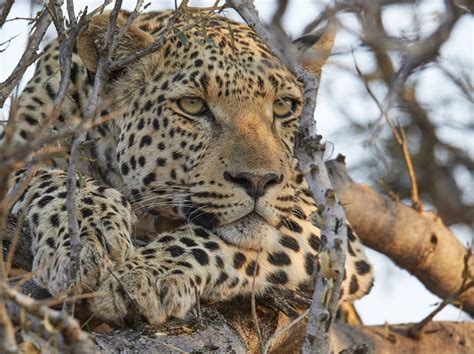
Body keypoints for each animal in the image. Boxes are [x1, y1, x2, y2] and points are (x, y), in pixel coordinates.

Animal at [2, 9, 374, 326]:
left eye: (283, 106)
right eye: (193, 105)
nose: (258, 180)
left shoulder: (329, 230)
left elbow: (212, 240)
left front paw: (146, 274)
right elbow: (46, 177)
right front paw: (85, 235)